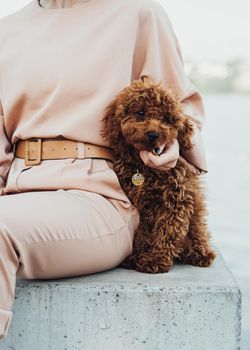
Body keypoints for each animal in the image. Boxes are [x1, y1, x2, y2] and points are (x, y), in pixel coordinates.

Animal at [100, 75, 216, 274]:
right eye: (140, 113)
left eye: (166, 119)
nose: (153, 134)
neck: (145, 170)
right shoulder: (139, 204)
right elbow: (142, 233)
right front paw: (136, 257)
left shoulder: (176, 202)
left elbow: (167, 232)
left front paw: (154, 260)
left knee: (198, 233)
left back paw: (201, 254)